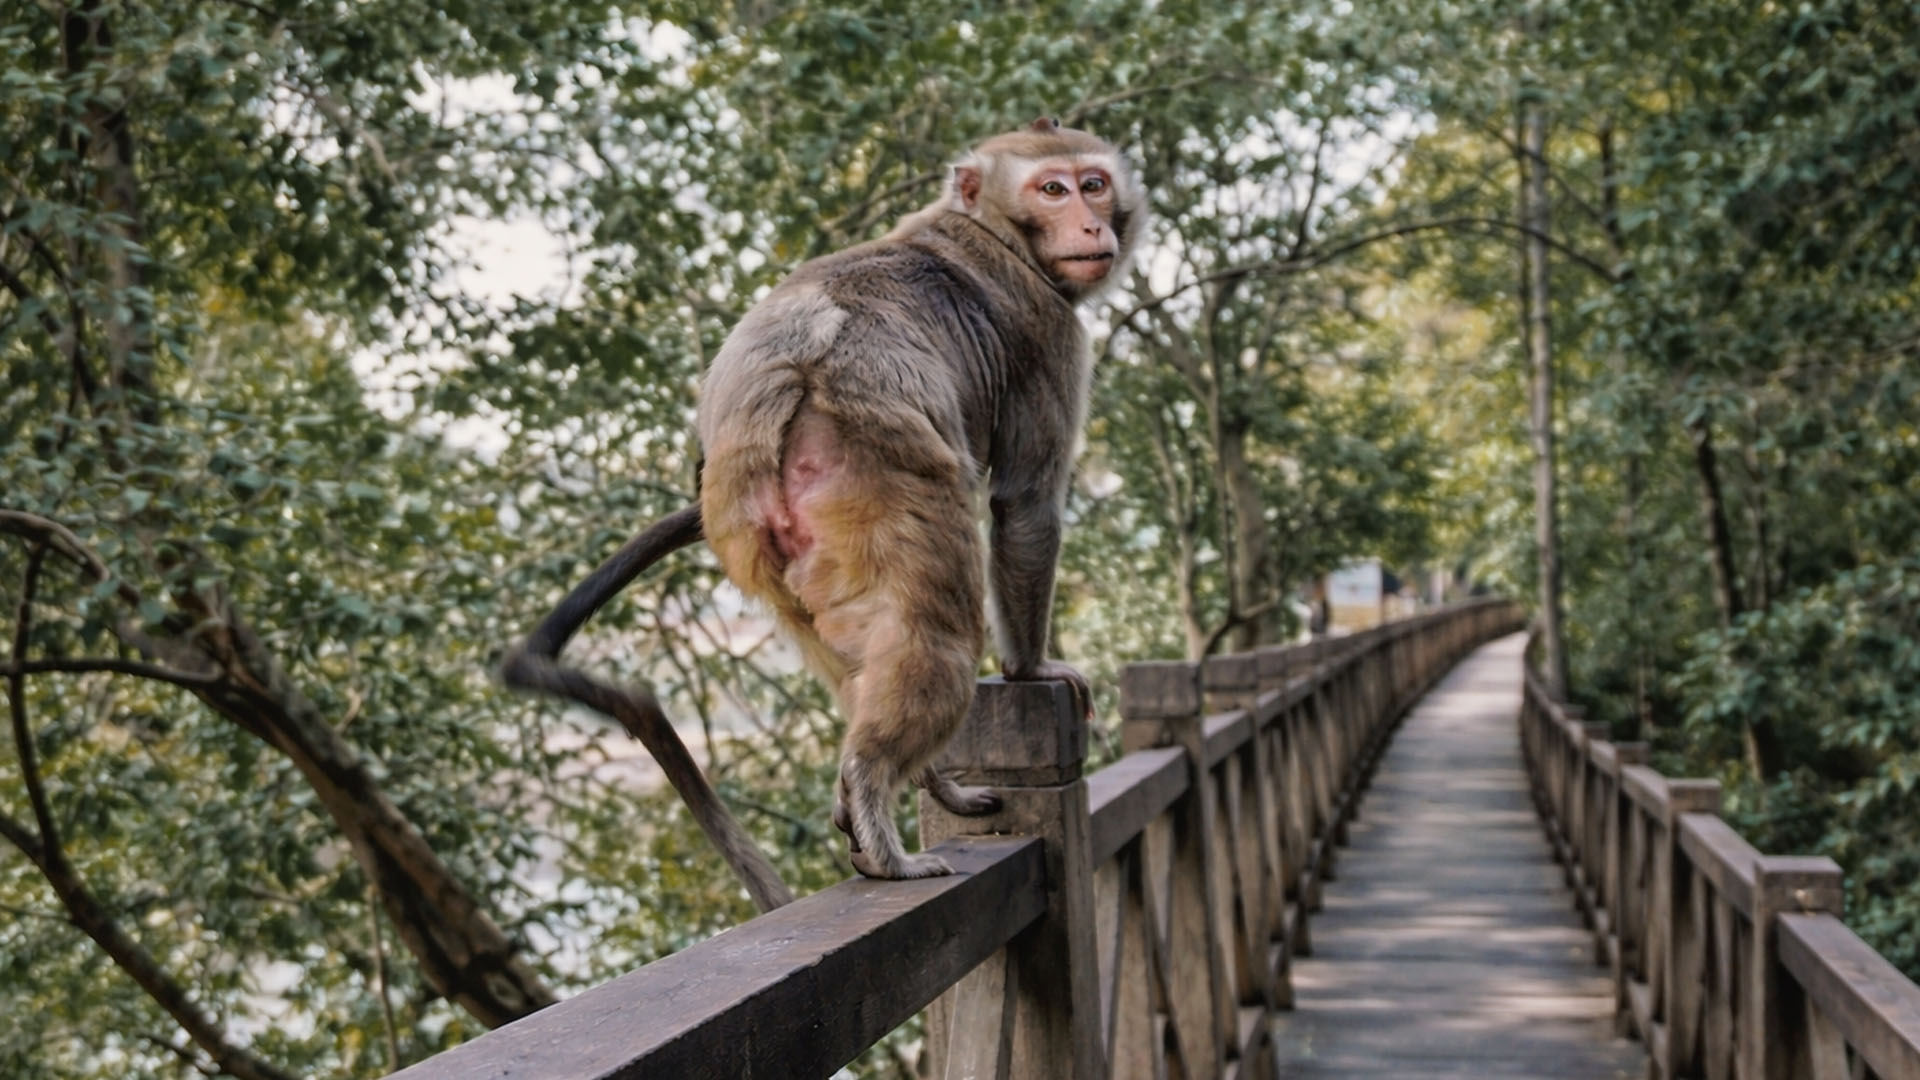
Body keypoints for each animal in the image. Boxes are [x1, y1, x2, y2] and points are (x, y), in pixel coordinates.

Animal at [504, 118, 1143, 892]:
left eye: (1093, 183)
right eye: (1053, 188)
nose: (1090, 223)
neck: (983, 228)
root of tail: (765, 399)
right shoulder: (1050, 334)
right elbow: (1024, 503)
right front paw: (1033, 670)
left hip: (763, 546)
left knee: (865, 650)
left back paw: (898, 791)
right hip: (880, 478)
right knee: (937, 632)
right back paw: (879, 804)